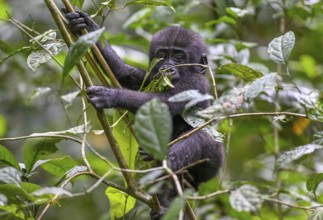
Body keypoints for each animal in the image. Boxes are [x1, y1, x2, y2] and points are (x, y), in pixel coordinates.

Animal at [64, 9, 224, 217]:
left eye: (179, 57)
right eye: (162, 55)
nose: (167, 68)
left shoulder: (196, 82)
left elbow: (162, 104)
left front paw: (112, 96)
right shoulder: (150, 76)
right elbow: (125, 74)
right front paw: (87, 26)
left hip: (214, 160)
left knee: (198, 139)